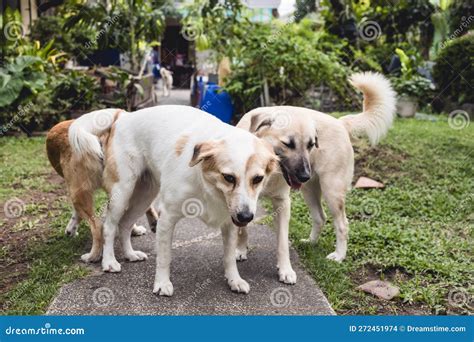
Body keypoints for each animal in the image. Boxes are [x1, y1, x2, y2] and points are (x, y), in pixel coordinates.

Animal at [70, 105, 278, 296]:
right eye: (228, 177)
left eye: (258, 179)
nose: (246, 217)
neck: (207, 183)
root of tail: (125, 116)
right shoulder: (167, 218)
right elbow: (164, 257)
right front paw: (162, 283)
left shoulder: (229, 223)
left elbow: (229, 257)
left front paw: (234, 280)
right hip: (122, 192)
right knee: (109, 226)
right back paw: (109, 261)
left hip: (145, 196)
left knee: (125, 225)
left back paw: (130, 254)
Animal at [237, 71, 396, 282]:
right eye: (288, 144)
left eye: (311, 144)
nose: (305, 174)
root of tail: (340, 122)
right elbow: (242, 228)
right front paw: (240, 250)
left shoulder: (283, 203)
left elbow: (282, 242)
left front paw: (285, 270)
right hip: (309, 191)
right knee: (320, 217)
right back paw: (311, 242)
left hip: (331, 191)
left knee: (342, 224)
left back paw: (339, 256)